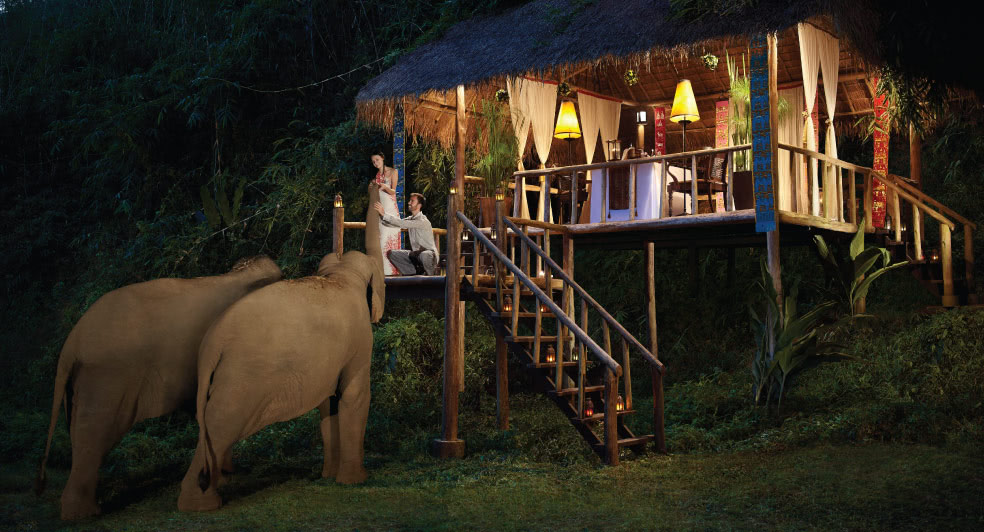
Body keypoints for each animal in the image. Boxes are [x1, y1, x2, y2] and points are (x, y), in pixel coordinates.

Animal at [36, 256, 283, 520]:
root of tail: (70, 345)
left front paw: (224, 476)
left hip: (79, 385)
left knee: (79, 433)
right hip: (106, 378)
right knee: (95, 434)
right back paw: (86, 514)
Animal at [177, 183, 385, 512]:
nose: (376, 183)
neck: (339, 276)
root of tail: (211, 346)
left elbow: (328, 405)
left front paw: (329, 477)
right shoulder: (359, 342)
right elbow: (354, 397)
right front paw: (355, 481)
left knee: (209, 426)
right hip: (239, 380)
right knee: (222, 424)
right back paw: (203, 504)